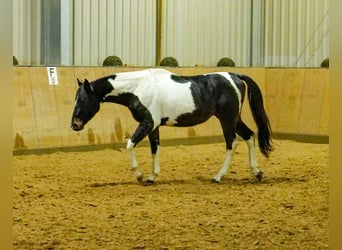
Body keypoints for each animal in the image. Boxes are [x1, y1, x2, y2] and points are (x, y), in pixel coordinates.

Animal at [71, 68, 274, 184]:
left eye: (82, 99)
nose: (74, 125)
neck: (138, 87)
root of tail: (234, 76)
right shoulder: (153, 126)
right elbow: (155, 149)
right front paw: (152, 176)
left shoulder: (148, 122)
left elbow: (129, 144)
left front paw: (139, 175)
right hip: (234, 119)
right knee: (249, 136)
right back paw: (257, 173)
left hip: (227, 119)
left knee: (232, 143)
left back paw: (218, 176)